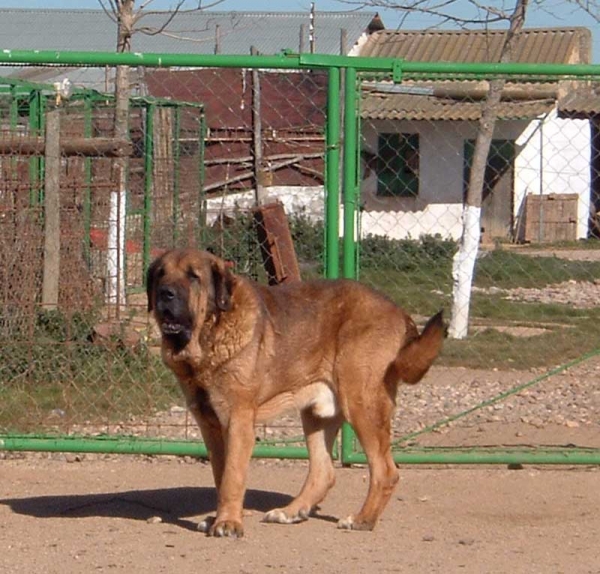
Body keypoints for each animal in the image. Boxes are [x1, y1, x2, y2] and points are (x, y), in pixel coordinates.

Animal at [146, 249, 446, 540]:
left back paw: (362, 520)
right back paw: (291, 512)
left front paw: (228, 523)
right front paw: (219, 517)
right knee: (323, 472)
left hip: (361, 405)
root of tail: (400, 312)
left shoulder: (237, 421)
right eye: (161, 274)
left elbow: (232, 476)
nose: (165, 293)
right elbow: (221, 475)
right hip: (317, 415)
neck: (210, 334)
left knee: (385, 471)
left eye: (193, 276)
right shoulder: (210, 426)